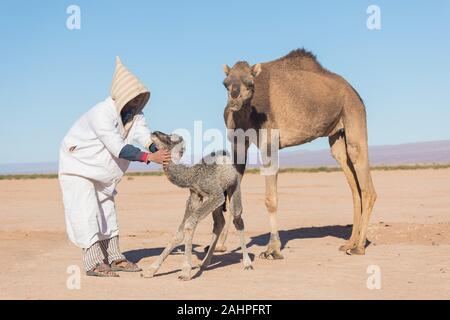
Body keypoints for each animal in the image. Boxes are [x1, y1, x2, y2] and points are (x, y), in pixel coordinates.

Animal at [142, 130, 253, 280]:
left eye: (171, 138)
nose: (154, 132)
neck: (193, 175)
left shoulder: (215, 193)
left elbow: (189, 224)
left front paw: (185, 272)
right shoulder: (194, 197)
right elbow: (179, 232)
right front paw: (150, 270)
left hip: (234, 186)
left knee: (237, 218)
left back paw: (247, 263)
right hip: (217, 202)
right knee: (219, 222)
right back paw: (205, 263)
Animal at [218, 48, 376, 258]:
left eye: (251, 84)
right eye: (225, 83)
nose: (234, 99)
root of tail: (354, 92)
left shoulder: (269, 143)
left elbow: (271, 199)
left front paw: (273, 249)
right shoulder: (238, 145)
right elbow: (232, 195)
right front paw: (219, 246)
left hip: (353, 114)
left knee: (364, 180)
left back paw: (359, 247)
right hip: (337, 136)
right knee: (352, 183)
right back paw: (349, 243)